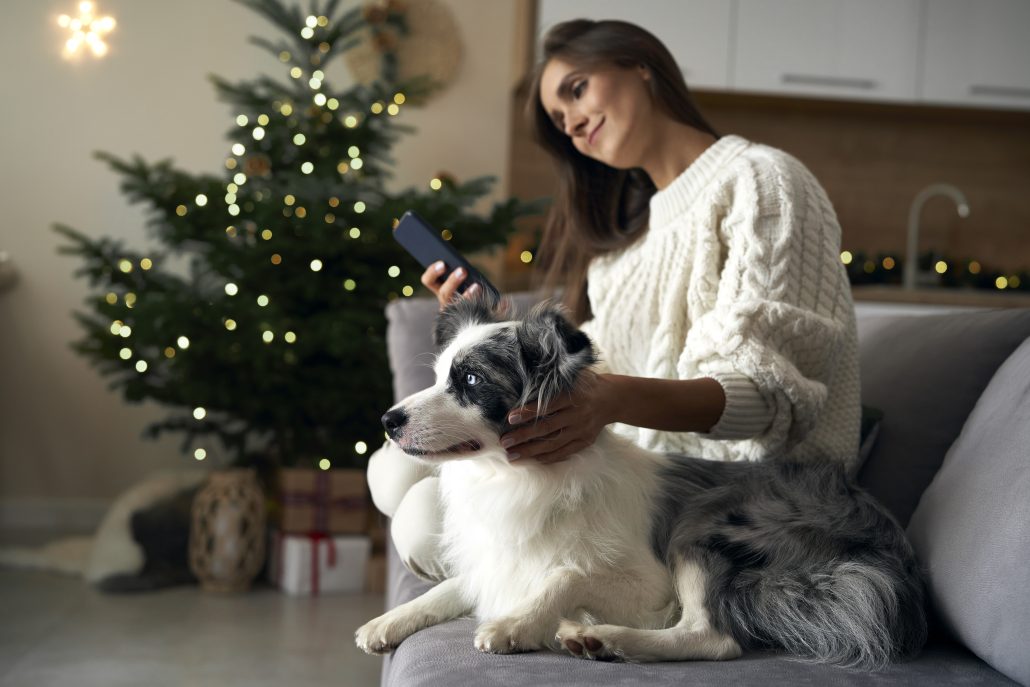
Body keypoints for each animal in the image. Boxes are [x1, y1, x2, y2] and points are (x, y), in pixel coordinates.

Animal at [354, 298, 927, 667]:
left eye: (470, 380)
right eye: (436, 377)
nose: (387, 420)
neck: (512, 477)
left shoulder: (650, 587)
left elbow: (567, 575)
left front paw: (516, 625)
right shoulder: (498, 559)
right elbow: (451, 587)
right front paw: (387, 622)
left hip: (701, 529)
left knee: (713, 638)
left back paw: (601, 638)